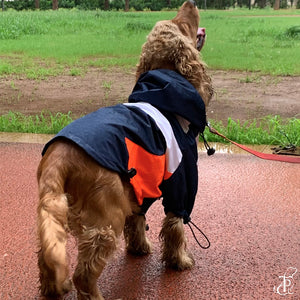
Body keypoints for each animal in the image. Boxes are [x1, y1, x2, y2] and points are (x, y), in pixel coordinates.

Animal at [36, 1, 212, 298]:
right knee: (84, 274)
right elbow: (175, 226)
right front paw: (179, 261)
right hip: (106, 219)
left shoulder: (141, 187)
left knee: (46, 259)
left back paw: (53, 289)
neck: (163, 88)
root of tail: (59, 154)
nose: (189, 2)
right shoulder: (181, 182)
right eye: (181, 23)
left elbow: (138, 221)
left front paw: (140, 248)